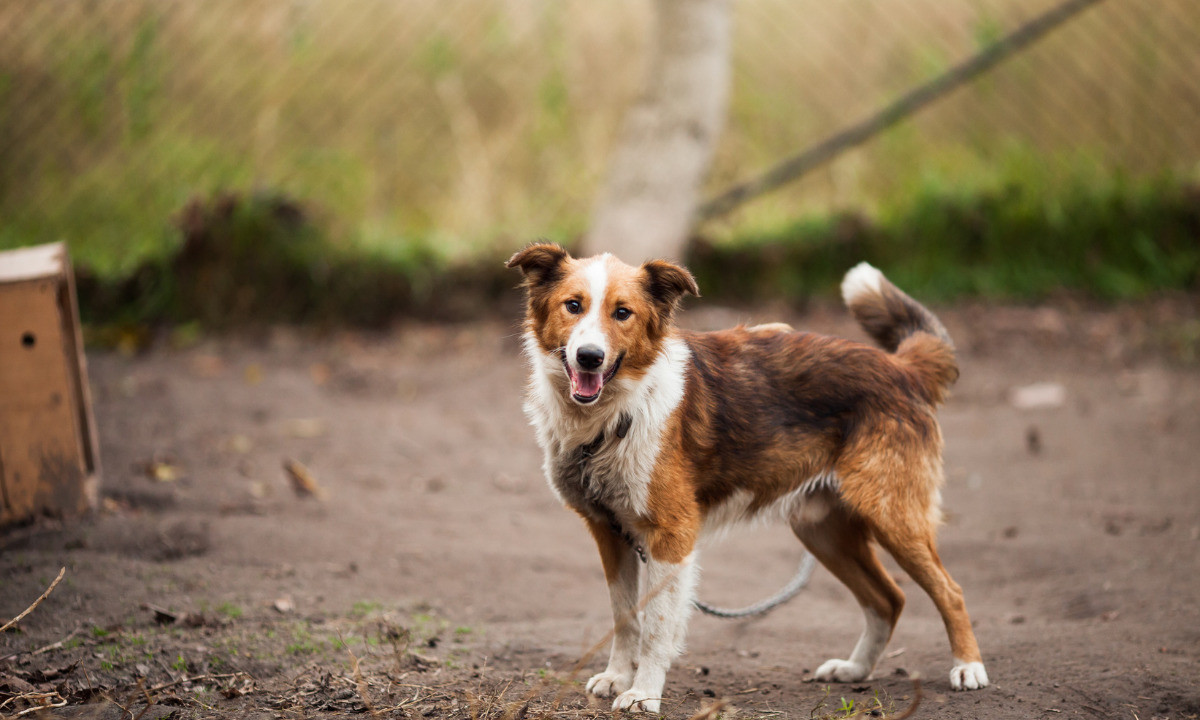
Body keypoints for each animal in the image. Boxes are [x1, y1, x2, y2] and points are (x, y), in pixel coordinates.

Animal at [511, 243, 988, 715]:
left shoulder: (671, 537)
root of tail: (901, 368)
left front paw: (644, 693)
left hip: (892, 515)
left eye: (622, 313)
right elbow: (625, 615)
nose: (589, 357)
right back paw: (855, 669)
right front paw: (616, 677)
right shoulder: (609, 533)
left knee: (950, 591)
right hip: (822, 530)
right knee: (888, 598)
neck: (616, 415)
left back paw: (968, 668)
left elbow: (656, 626)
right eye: (573, 306)